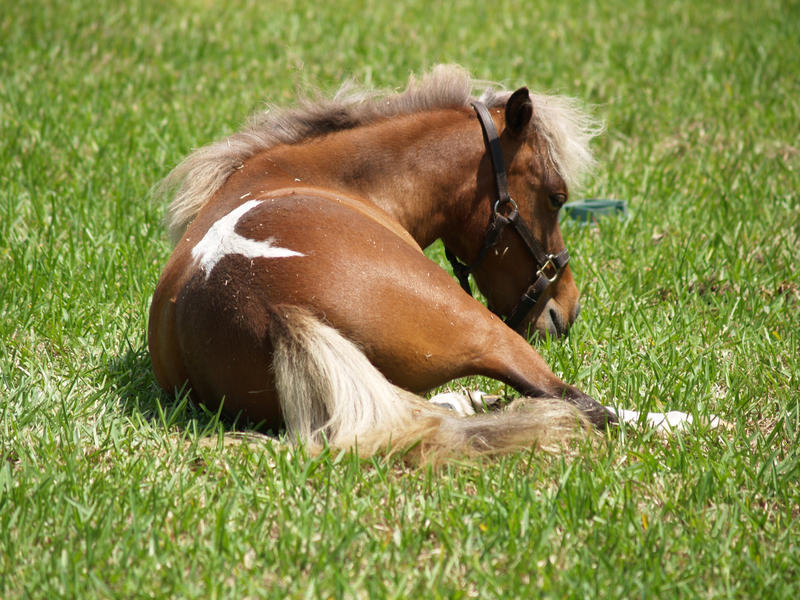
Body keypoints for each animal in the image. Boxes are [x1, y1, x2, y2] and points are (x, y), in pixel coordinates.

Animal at [148, 67, 700, 460]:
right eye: (557, 196)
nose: (567, 309)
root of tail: (265, 305)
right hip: (487, 330)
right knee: (578, 404)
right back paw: (691, 421)